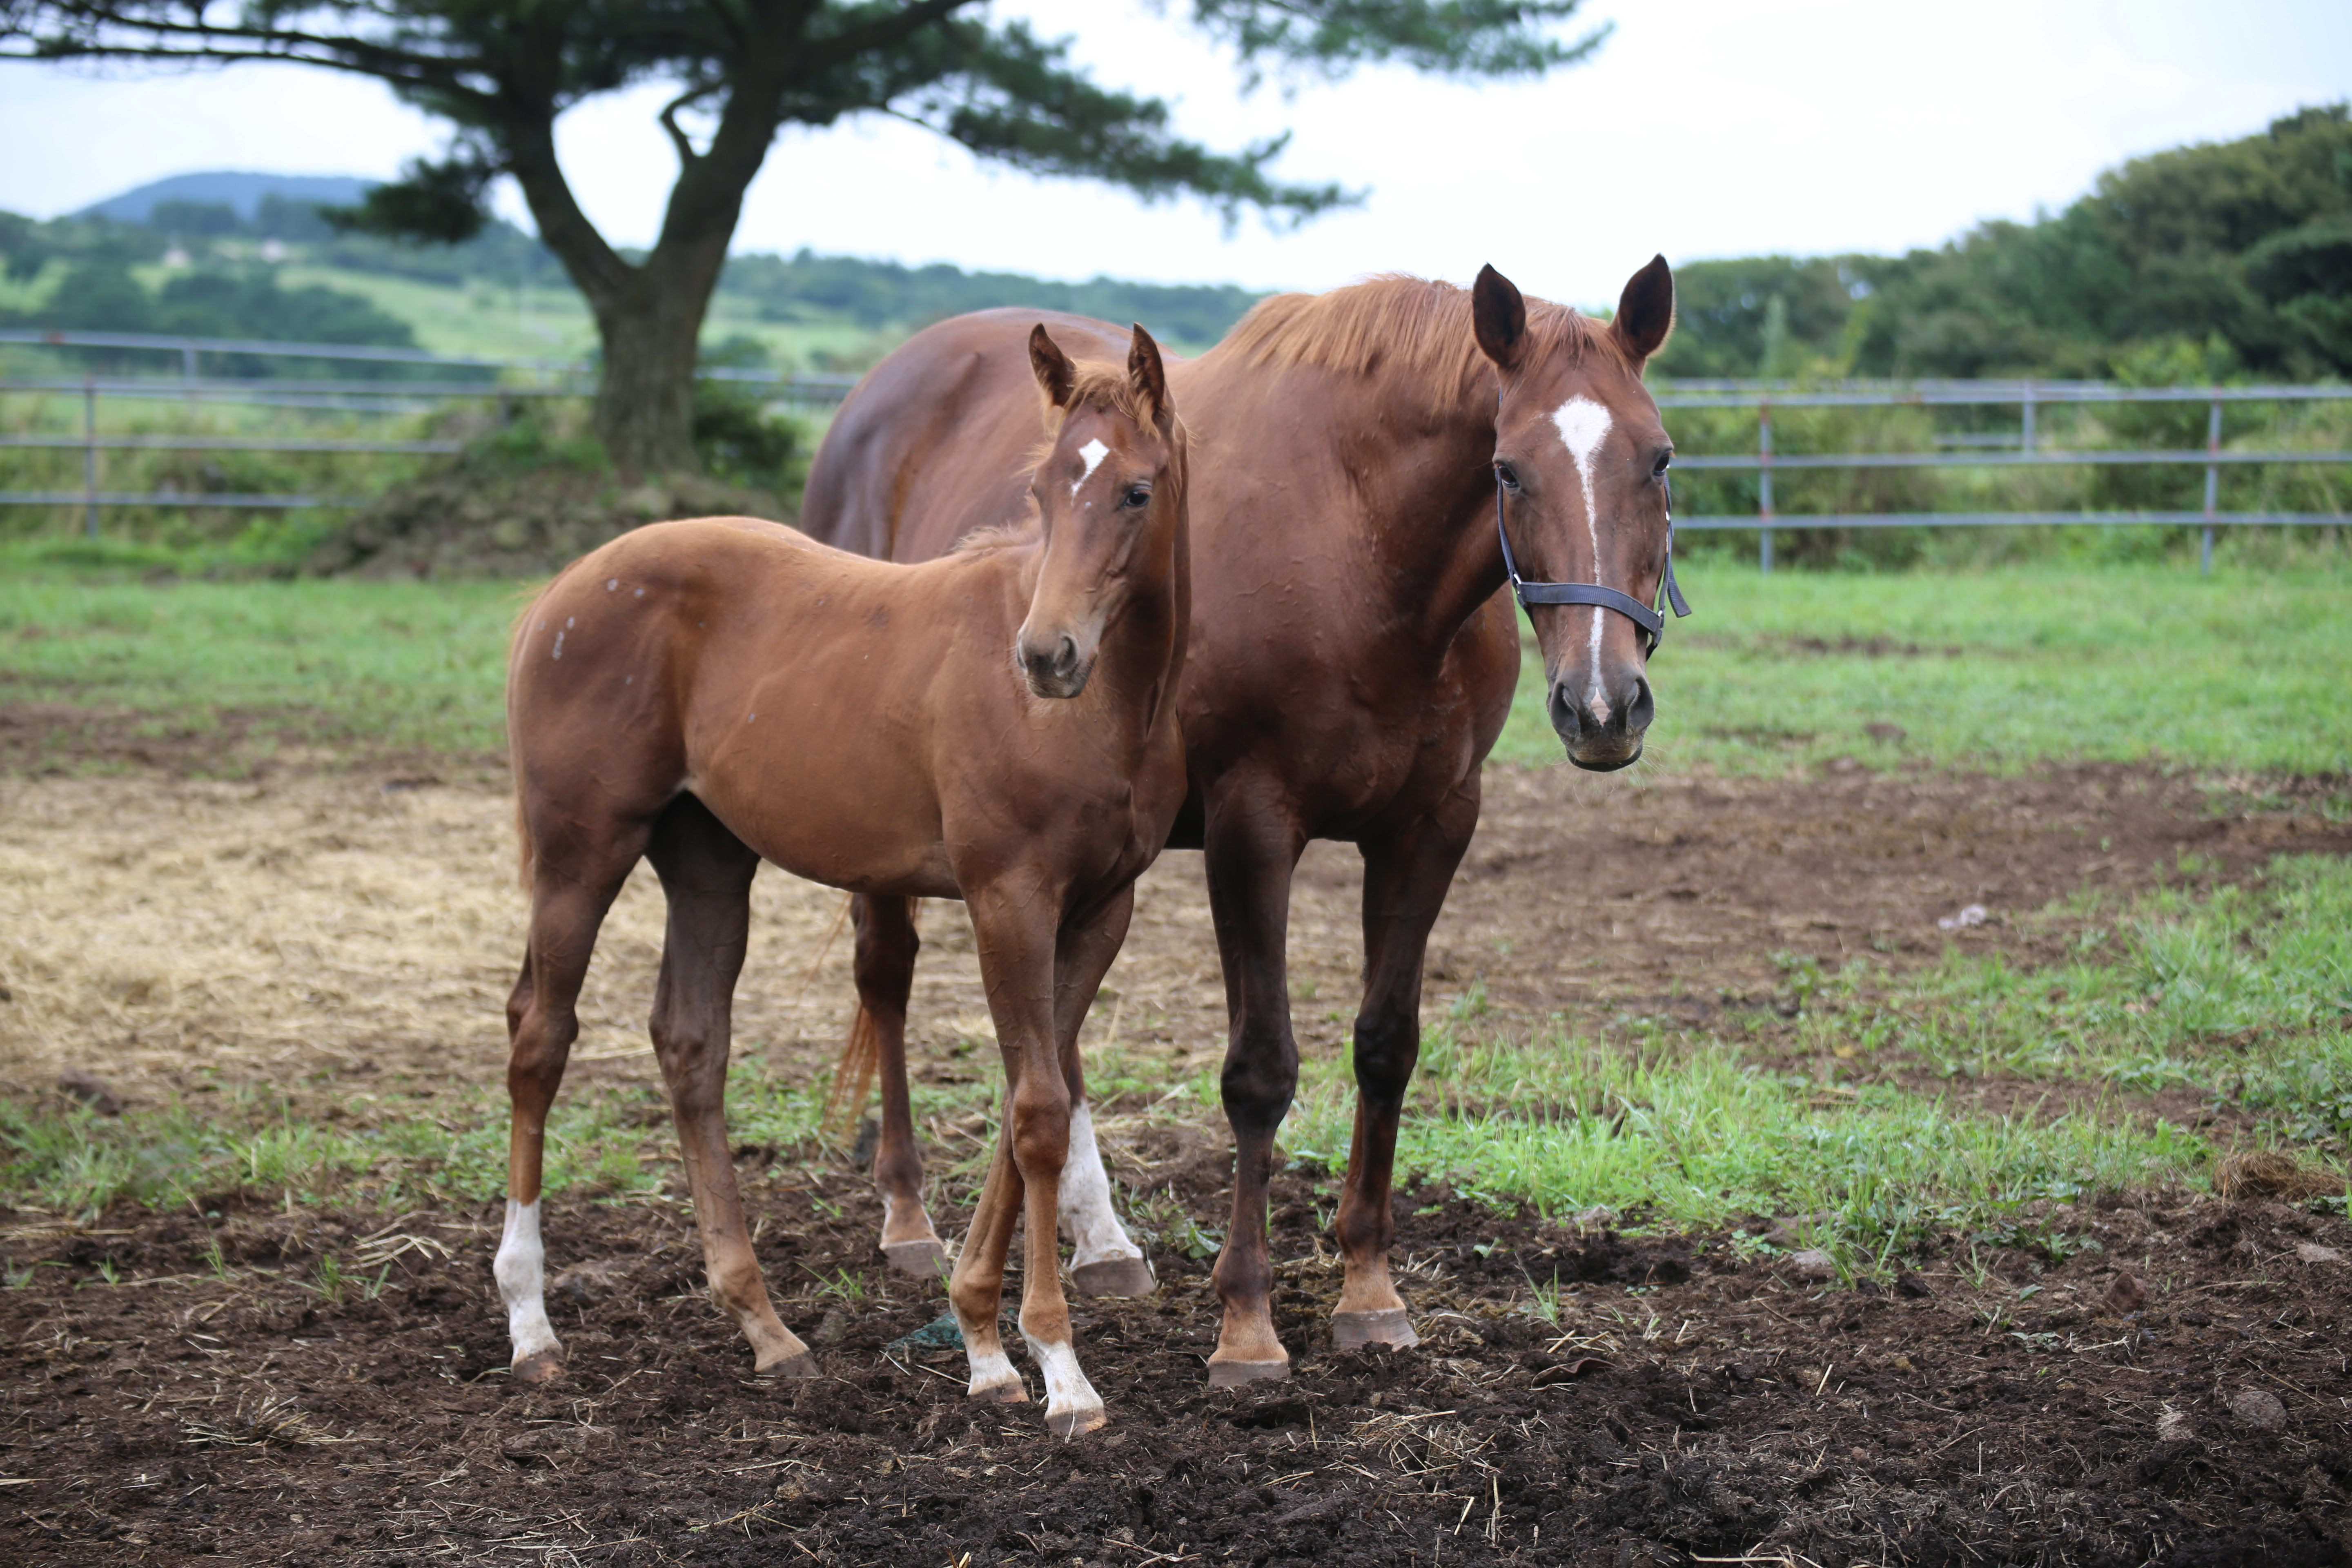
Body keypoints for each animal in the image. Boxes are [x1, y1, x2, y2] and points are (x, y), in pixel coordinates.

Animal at [503, 324, 1185, 1439]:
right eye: (1042, 489)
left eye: (1135, 489)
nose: (1045, 655)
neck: (1099, 713)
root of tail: (560, 591)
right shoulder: (1007, 898)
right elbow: (1039, 1113)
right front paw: (1057, 1367)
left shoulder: (1098, 910)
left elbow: (1025, 1108)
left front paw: (986, 1345)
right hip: (580, 854)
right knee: (539, 1039)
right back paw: (530, 1324)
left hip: (707, 862)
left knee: (690, 1042)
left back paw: (766, 1328)